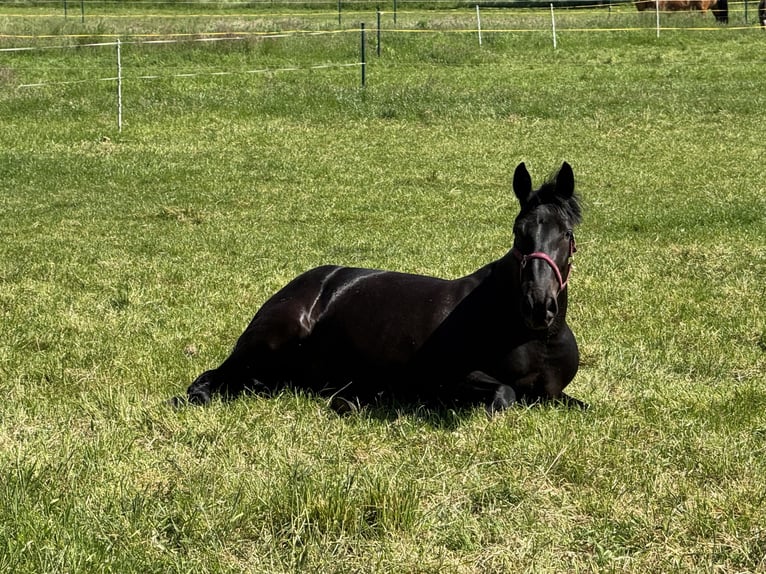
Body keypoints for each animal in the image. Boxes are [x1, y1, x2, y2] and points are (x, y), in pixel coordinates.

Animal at [174, 162, 587, 415]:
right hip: (269, 341)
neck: (534, 338)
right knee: (214, 377)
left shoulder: (554, 394)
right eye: (519, 233)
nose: (539, 305)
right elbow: (506, 393)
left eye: (566, 235)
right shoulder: (446, 376)